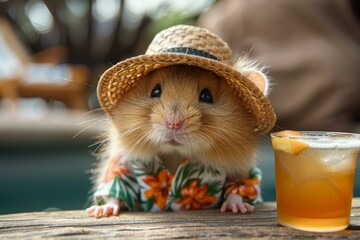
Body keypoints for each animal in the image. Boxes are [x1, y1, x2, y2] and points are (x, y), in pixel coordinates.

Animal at [86, 63, 268, 218]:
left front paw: (238, 208)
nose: (173, 123)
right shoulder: (122, 165)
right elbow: (116, 188)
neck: (175, 153)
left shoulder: (240, 170)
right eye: (155, 91)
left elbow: (238, 187)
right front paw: (101, 211)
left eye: (207, 96)